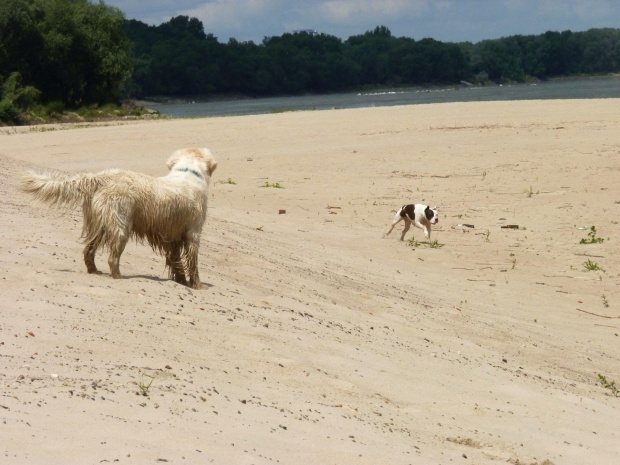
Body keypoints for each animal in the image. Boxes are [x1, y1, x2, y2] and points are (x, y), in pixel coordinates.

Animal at [20, 147, 218, 288]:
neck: (188, 172)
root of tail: (100, 177)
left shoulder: (173, 237)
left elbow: (177, 263)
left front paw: (181, 281)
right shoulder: (193, 234)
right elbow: (193, 264)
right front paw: (198, 286)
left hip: (100, 224)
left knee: (88, 251)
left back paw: (94, 271)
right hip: (121, 228)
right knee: (112, 258)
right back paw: (119, 277)